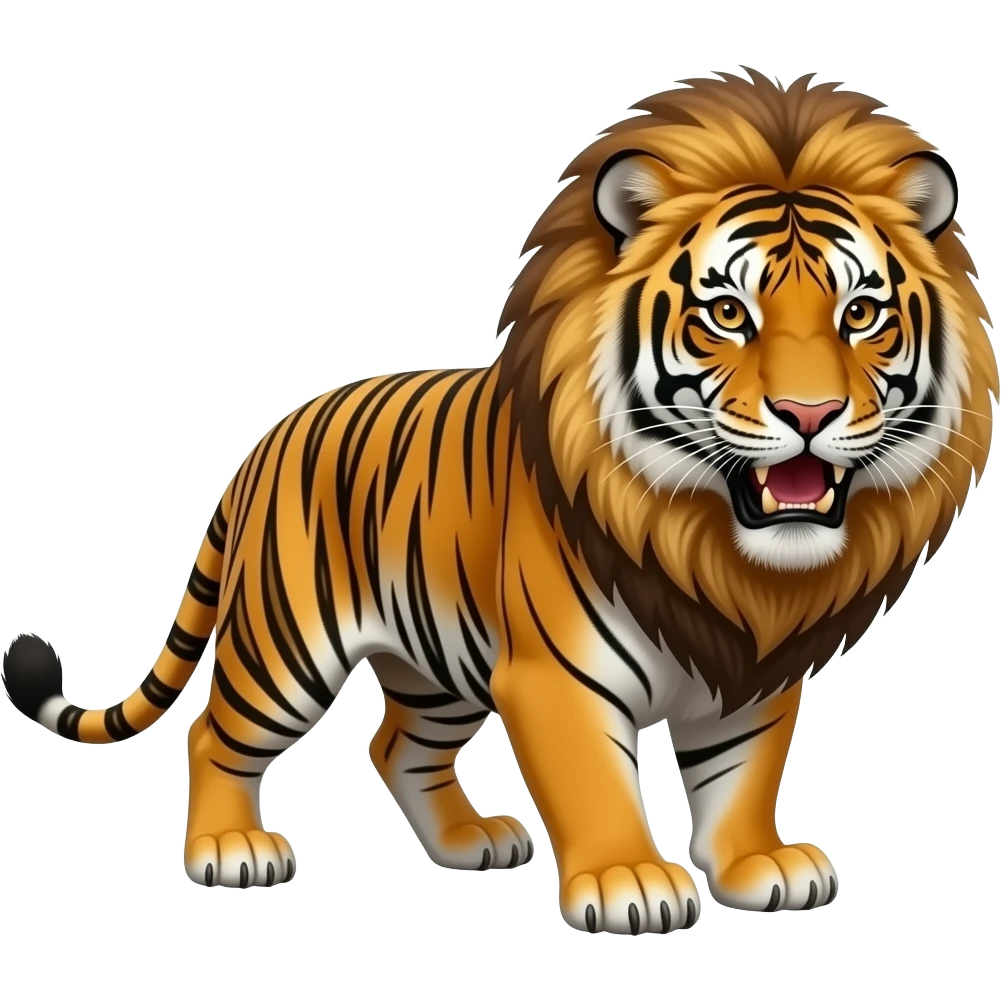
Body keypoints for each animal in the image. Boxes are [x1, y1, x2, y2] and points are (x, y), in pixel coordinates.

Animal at [2, 68, 997, 936]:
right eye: (726, 315)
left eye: (859, 315)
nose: (809, 414)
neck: (716, 549)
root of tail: (270, 436)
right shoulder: (555, 675)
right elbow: (593, 780)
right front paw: (629, 881)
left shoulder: (752, 675)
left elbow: (741, 775)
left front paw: (758, 864)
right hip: (284, 645)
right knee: (214, 730)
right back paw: (228, 847)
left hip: (437, 663)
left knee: (393, 745)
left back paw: (467, 841)